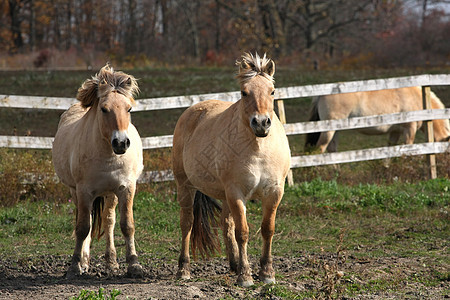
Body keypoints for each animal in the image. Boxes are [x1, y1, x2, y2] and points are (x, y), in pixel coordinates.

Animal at [52, 64, 144, 278]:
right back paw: (84, 262)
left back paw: (111, 262)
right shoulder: (84, 191)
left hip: (110, 193)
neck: (108, 156)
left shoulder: (126, 188)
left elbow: (127, 226)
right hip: (76, 192)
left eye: (129, 108)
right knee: (86, 221)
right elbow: (83, 227)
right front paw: (75, 266)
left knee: (109, 221)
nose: (121, 143)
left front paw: (134, 265)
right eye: (104, 109)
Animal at [172, 52, 292, 288]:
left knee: (225, 223)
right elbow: (242, 232)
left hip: (224, 195)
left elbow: (268, 229)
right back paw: (184, 269)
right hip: (186, 187)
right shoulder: (236, 192)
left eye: (272, 91)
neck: (259, 148)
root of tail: (192, 112)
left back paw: (234, 263)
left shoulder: (274, 192)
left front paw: (267, 273)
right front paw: (245, 276)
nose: (261, 123)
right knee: (187, 224)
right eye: (244, 92)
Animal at [306, 86, 450, 152]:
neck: (418, 99)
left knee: (332, 150)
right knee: (320, 149)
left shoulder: (395, 132)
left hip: (335, 131)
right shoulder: (410, 129)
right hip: (329, 131)